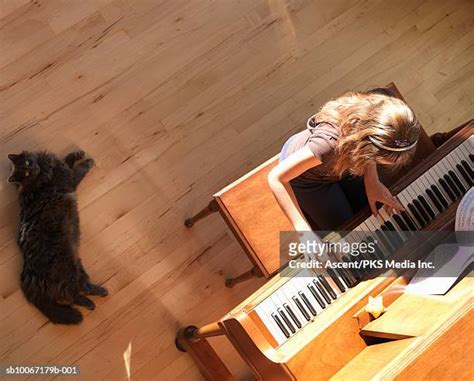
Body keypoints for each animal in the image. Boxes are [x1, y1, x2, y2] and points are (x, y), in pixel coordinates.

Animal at [7, 150, 107, 322]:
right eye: (26, 173)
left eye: (27, 164)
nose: (32, 168)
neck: (43, 172)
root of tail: (27, 275)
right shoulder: (68, 180)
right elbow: (78, 170)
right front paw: (87, 162)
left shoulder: (60, 168)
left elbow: (66, 160)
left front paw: (77, 153)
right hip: (68, 270)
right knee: (72, 295)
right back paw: (91, 302)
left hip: (76, 265)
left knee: (82, 287)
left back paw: (99, 293)